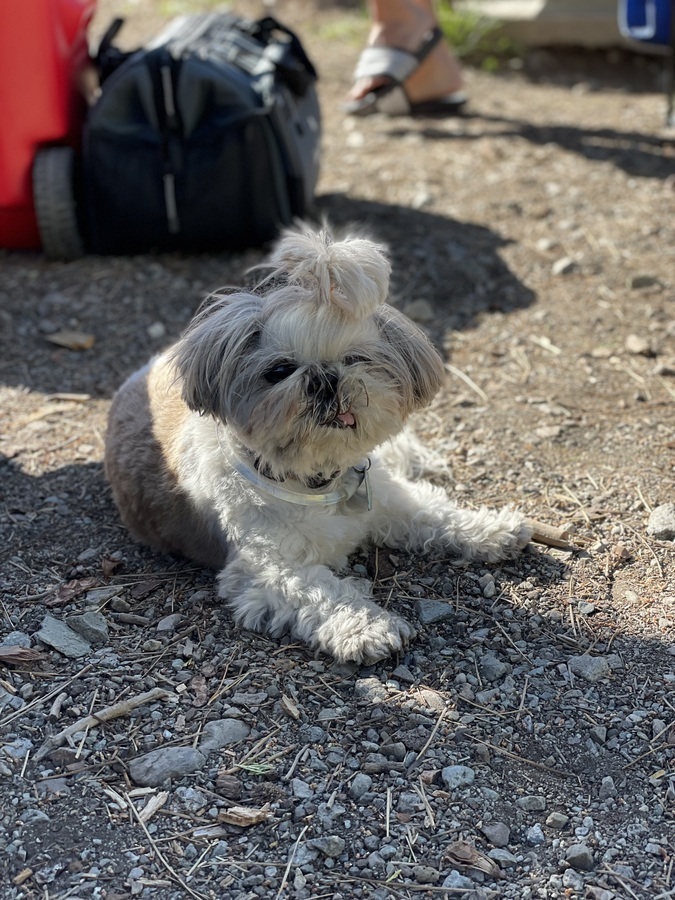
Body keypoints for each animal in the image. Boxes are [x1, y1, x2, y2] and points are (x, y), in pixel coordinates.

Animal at [105, 230, 532, 668]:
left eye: (355, 359)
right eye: (278, 371)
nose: (326, 377)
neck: (314, 480)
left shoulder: (387, 499)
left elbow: (433, 512)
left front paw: (492, 530)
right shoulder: (270, 568)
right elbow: (323, 592)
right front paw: (368, 628)